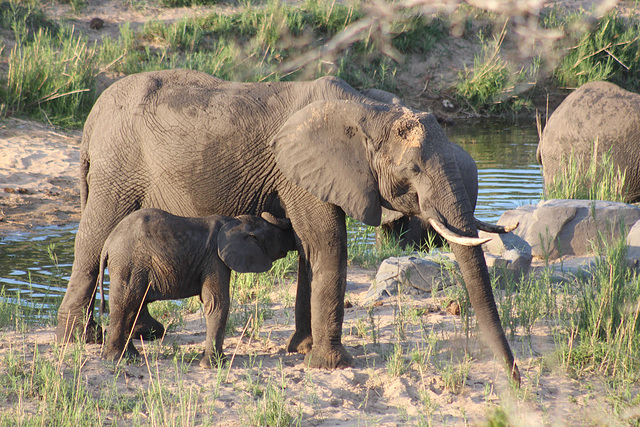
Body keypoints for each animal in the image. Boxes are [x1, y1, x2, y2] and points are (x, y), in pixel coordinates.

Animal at [98, 209, 298, 366]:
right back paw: (116, 358)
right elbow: (217, 302)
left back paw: (130, 356)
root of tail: (107, 244)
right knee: (125, 302)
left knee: (133, 304)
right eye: (277, 234)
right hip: (129, 264)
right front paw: (215, 365)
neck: (234, 221)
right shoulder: (214, 259)